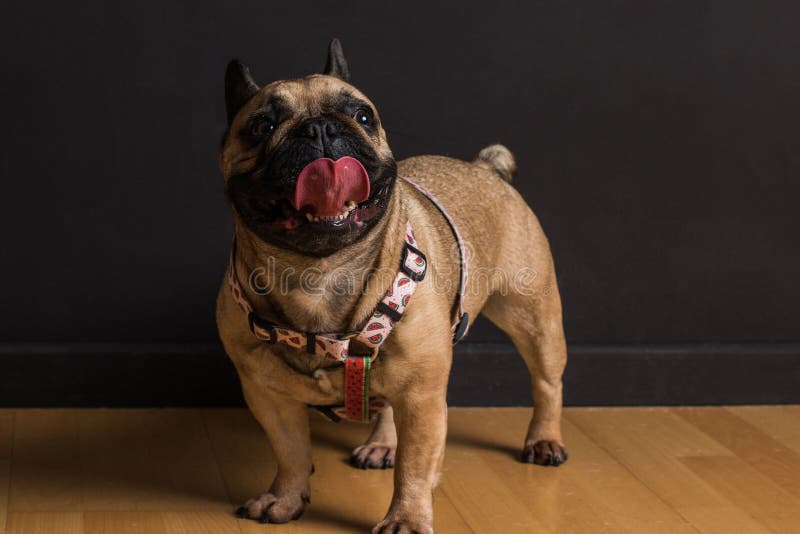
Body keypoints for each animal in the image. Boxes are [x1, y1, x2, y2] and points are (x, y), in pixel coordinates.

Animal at [217, 38, 568, 534]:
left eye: (363, 116)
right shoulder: (268, 396)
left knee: (546, 381)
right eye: (261, 126)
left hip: (533, 316)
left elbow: (415, 466)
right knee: (384, 405)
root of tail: (484, 168)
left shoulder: (423, 397)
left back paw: (544, 440)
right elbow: (290, 452)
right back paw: (382, 443)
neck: (318, 273)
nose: (320, 129)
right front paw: (284, 499)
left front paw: (406, 518)